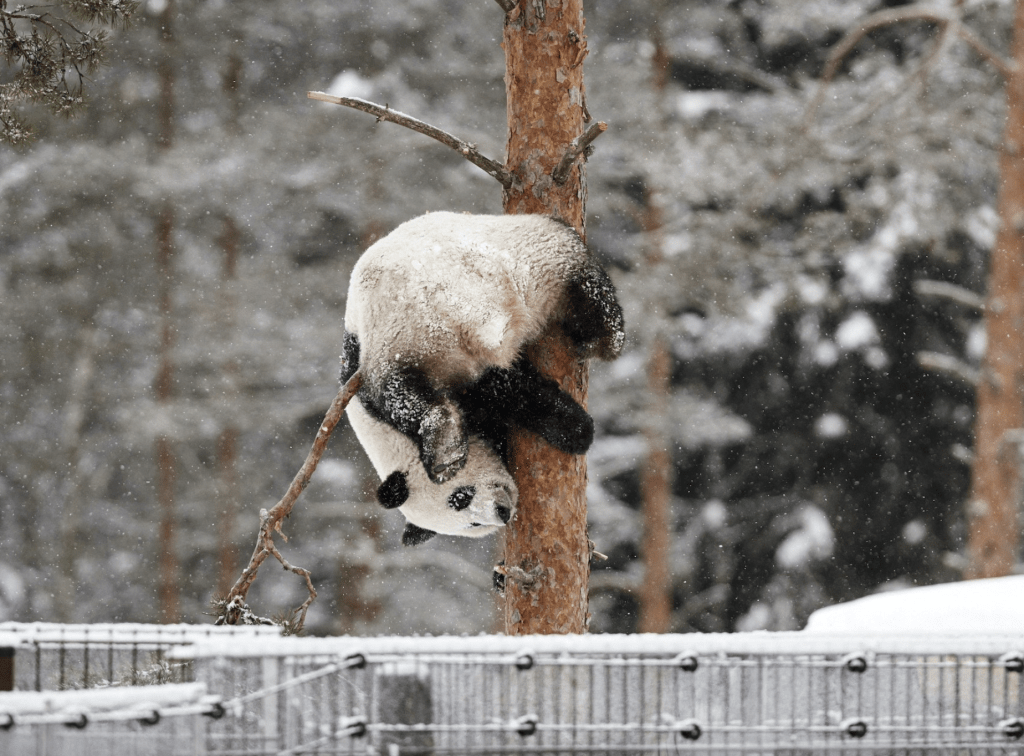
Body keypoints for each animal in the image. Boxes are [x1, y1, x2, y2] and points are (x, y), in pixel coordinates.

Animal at [342, 208, 622, 544]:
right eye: (472, 523)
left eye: (460, 497)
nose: (502, 513)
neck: (387, 441)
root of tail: (453, 299)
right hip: (525, 268)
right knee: (582, 292)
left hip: (399, 333)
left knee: (410, 391)